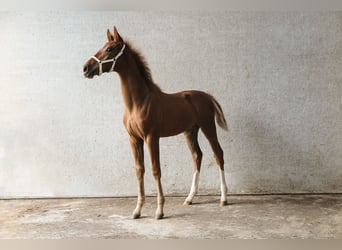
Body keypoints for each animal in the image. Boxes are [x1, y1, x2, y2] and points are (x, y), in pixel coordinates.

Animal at [83, 26, 228, 220]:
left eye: (110, 49)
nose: (86, 68)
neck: (138, 102)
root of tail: (207, 96)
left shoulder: (152, 138)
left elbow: (155, 169)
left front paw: (159, 211)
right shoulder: (134, 139)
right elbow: (139, 170)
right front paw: (137, 210)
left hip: (208, 127)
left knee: (218, 154)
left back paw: (224, 199)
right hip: (190, 131)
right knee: (197, 156)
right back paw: (189, 198)